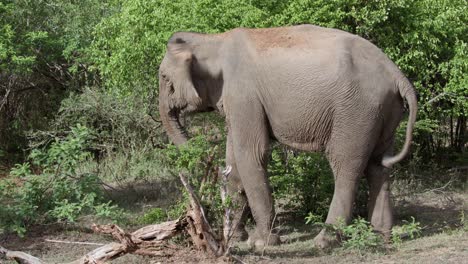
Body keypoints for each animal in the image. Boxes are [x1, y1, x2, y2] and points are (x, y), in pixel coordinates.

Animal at [158, 24, 416, 250]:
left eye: (165, 79)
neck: (213, 40)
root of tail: (397, 74)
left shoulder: (244, 94)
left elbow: (251, 154)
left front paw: (260, 243)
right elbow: (234, 162)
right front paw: (237, 239)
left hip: (356, 110)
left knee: (346, 167)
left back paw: (324, 241)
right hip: (384, 110)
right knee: (378, 166)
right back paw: (382, 236)